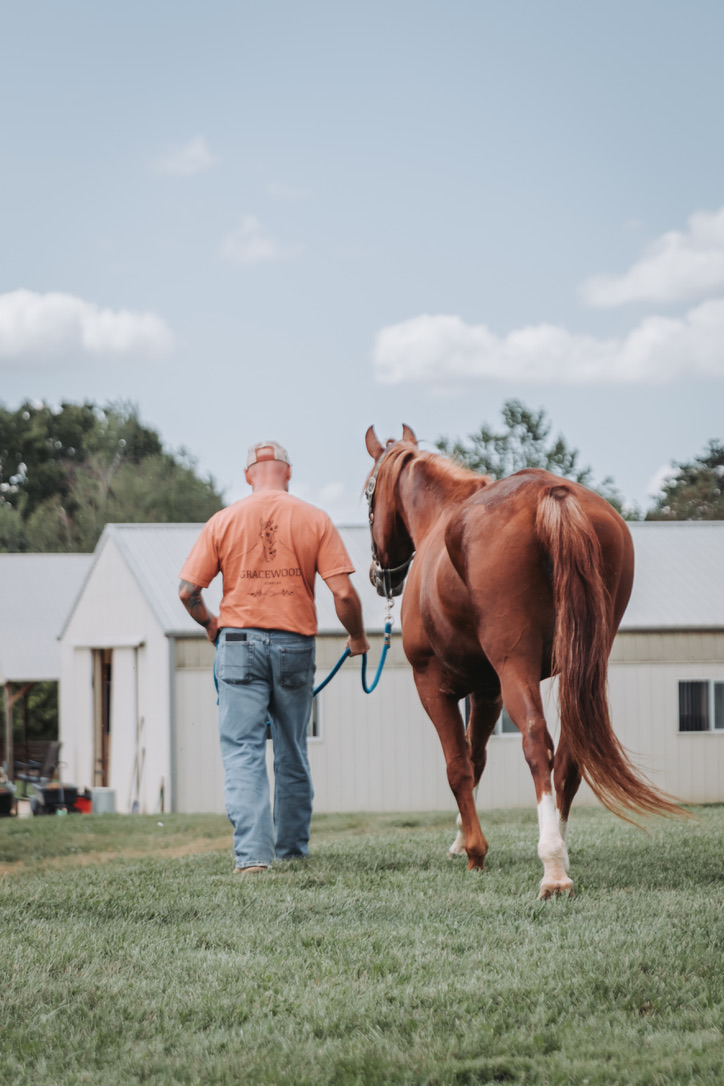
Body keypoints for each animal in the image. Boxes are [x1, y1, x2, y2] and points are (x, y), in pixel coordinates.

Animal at [365, 425, 681, 898]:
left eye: (368, 494)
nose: (381, 576)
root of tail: (551, 492)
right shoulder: (487, 689)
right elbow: (476, 759)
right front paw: (463, 840)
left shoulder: (434, 685)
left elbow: (458, 765)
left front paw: (475, 852)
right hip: (583, 666)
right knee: (568, 754)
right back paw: (561, 850)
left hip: (516, 664)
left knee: (536, 741)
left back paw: (552, 867)